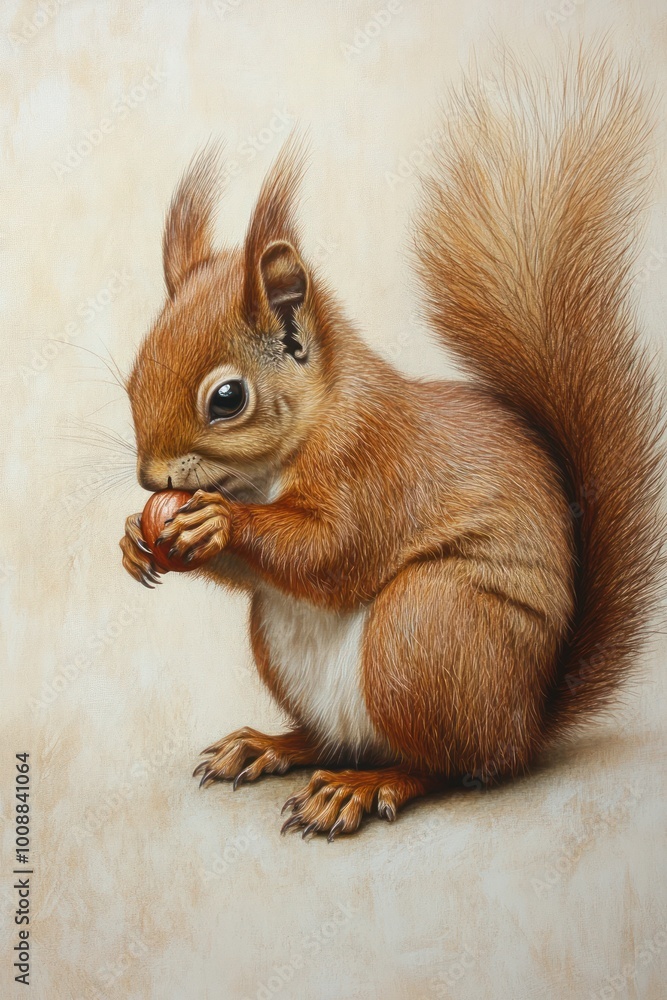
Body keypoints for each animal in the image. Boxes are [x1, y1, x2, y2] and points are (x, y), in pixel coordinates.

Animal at [120, 52, 664, 840]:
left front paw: (218, 521)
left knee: (444, 764)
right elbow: (264, 573)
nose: (151, 481)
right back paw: (271, 746)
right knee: (334, 739)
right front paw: (136, 540)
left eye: (226, 399)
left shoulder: (375, 462)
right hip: (291, 647)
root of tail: (526, 724)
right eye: (133, 377)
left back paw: (362, 786)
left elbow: (333, 550)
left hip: (429, 627)